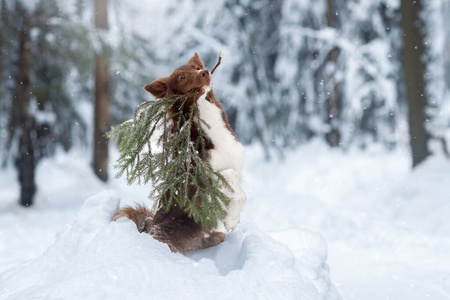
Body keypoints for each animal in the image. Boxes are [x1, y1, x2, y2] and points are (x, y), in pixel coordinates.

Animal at [112, 52, 246, 253]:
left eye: (197, 68)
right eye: (182, 77)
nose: (205, 72)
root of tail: (149, 226)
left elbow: (240, 190)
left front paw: (231, 217)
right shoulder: (200, 178)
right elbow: (231, 178)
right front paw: (231, 219)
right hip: (169, 233)